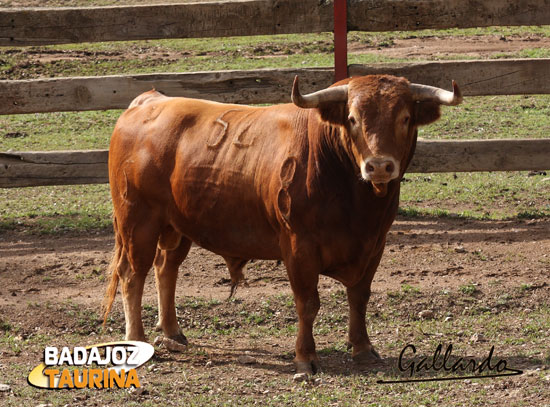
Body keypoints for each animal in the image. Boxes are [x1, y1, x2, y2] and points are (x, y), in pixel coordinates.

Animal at [102, 74, 462, 376]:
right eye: (352, 119)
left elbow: (359, 297)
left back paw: (173, 332)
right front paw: (306, 357)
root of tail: (148, 101)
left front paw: (363, 348)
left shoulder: (374, 244)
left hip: (178, 227)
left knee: (167, 269)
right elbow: (308, 303)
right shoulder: (299, 247)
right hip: (137, 222)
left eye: (405, 118)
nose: (379, 166)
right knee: (133, 275)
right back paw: (138, 338)